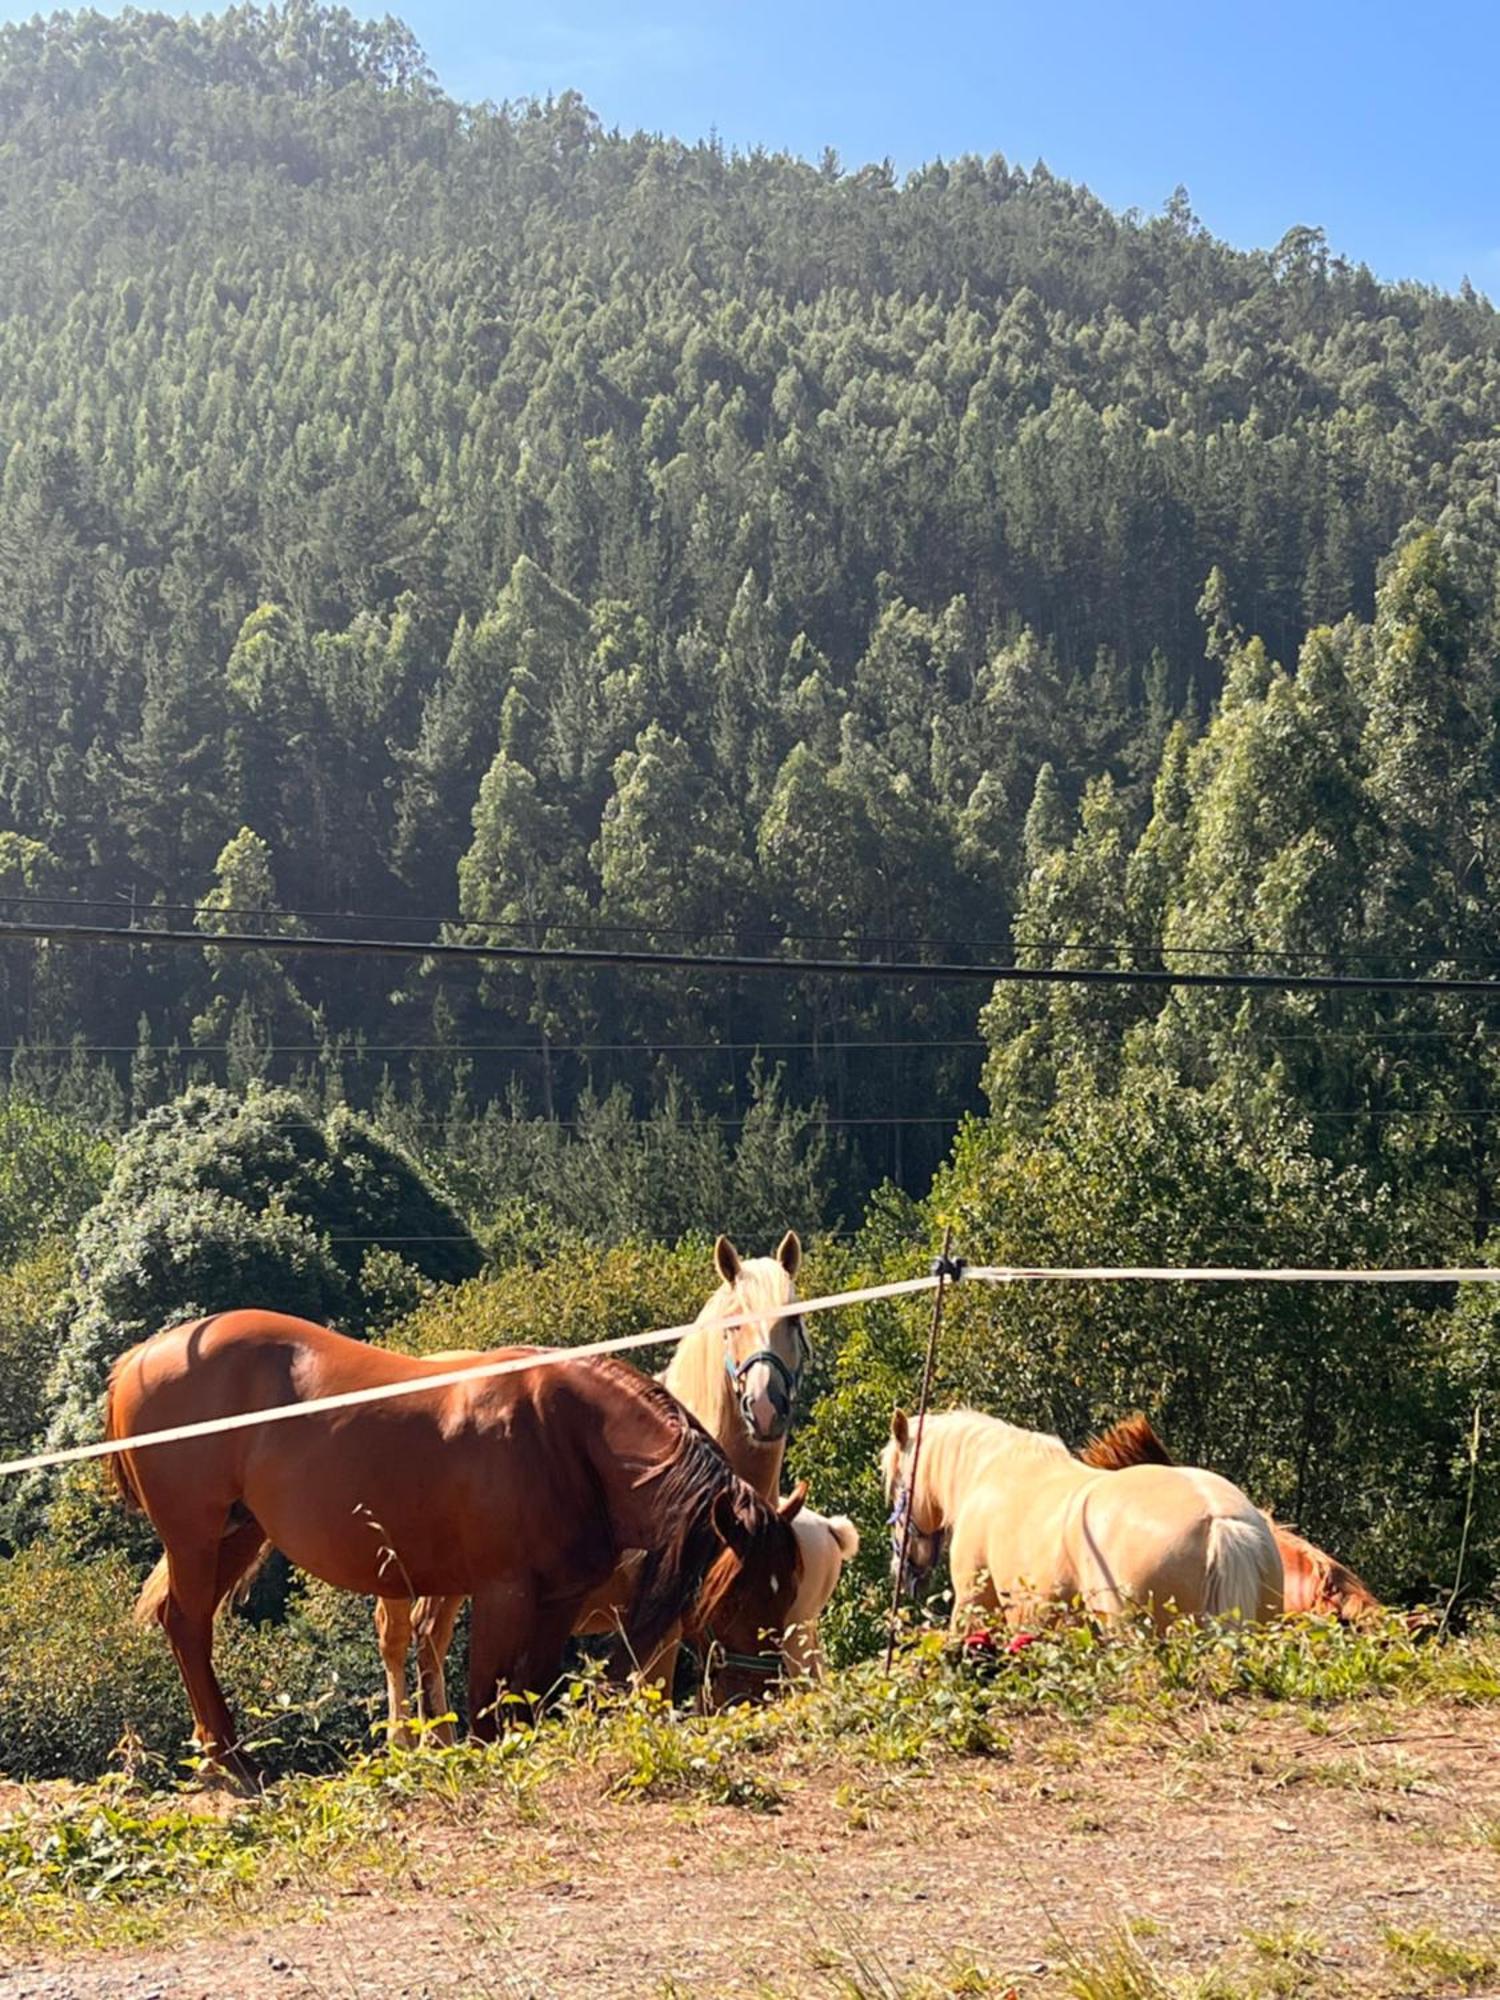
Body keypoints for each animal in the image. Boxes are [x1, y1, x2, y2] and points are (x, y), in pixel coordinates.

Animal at [107, 1304, 804, 1792]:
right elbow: (486, 1710)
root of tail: (141, 1355)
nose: (762, 1699)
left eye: (789, 1590)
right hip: (196, 1537)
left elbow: (528, 1697)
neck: (565, 1434)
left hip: (238, 1533)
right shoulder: (499, 1596)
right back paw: (230, 1759)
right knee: (189, 1626)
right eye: (732, 1598)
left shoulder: (557, 1603)